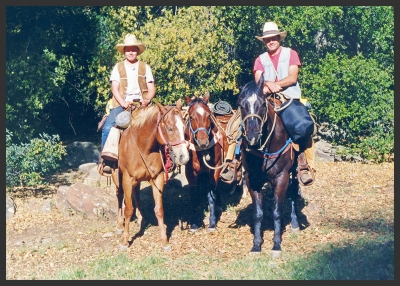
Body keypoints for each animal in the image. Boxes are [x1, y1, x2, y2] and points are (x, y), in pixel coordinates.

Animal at [110, 100, 190, 250]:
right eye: (170, 129)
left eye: (184, 127)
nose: (184, 157)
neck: (143, 146)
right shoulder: (127, 179)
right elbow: (128, 209)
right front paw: (124, 241)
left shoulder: (157, 178)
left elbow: (159, 209)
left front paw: (164, 241)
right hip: (116, 175)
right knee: (119, 195)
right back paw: (119, 225)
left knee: (136, 193)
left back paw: (141, 218)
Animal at [184, 92, 228, 231]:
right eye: (191, 117)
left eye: (208, 116)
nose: (203, 142)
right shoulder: (190, 172)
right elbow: (194, 194)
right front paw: (194, 223)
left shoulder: (215, 168)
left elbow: (211, 192)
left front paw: (212, 222)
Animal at [238, 77, 300, 258]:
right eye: (241, 104)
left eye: (262, 104)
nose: (252, 135)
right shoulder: (253, 179)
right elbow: (258, 213)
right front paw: (256, 245)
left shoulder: (281, 177)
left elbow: (277, 212)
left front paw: (276, 245)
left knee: (294, 191)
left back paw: (295, 223)